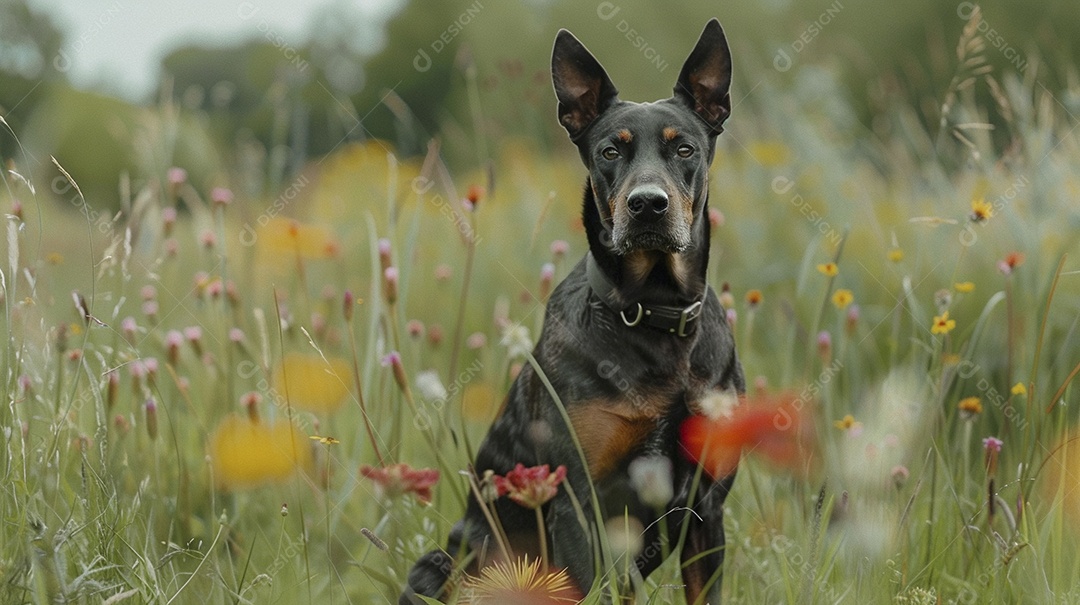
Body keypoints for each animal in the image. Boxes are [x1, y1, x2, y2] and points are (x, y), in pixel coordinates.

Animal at [401, 18, 747, 605]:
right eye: (609, 151)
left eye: (684, 149)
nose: (647, 204)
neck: (654, 312)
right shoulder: (576, 502)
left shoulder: (708, 507)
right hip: (443, 562)